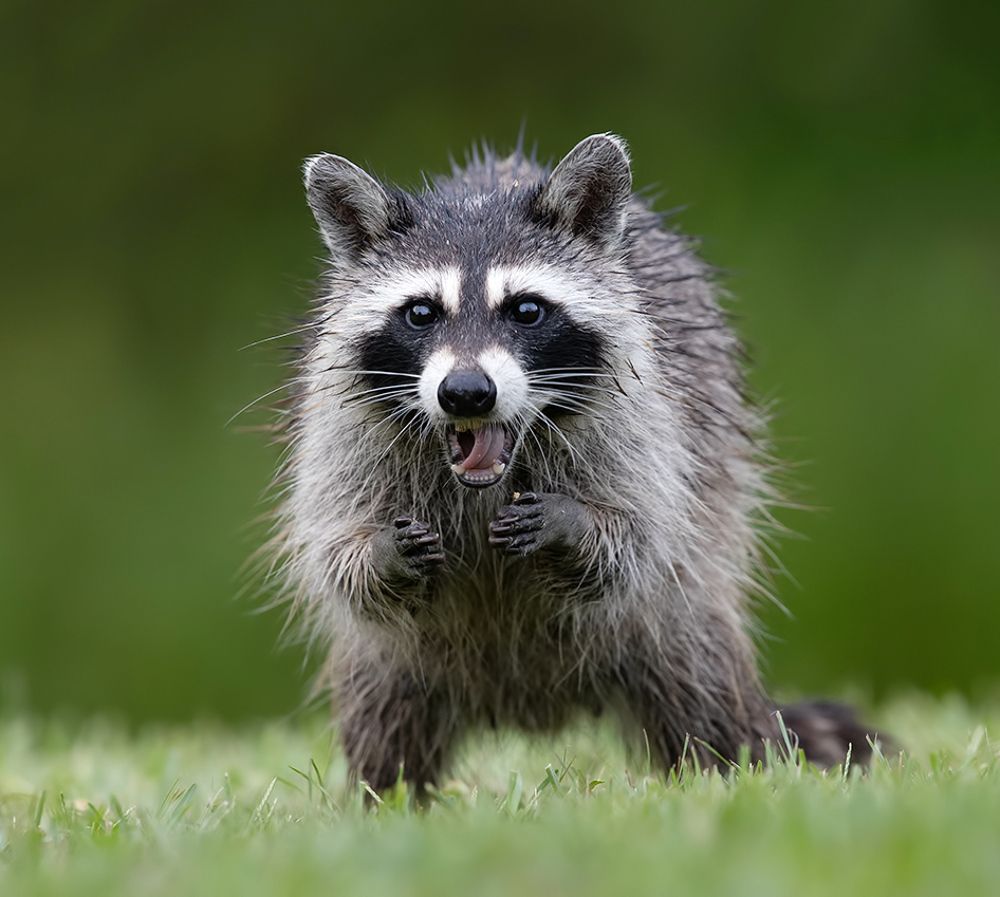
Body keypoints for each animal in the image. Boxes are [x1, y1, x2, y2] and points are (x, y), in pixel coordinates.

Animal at [275, 133, 880, 793]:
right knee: (385, 711)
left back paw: (730, 774)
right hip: (390, 659)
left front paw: (572, 524)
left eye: (526, 310)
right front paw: (381, 550)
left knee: (700, 681)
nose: (466, 392)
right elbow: (338, 555)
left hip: (680, 611)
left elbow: (641, 540)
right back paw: (386, 796)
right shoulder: (344, 432)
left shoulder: (653, 422)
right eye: (421, 313)